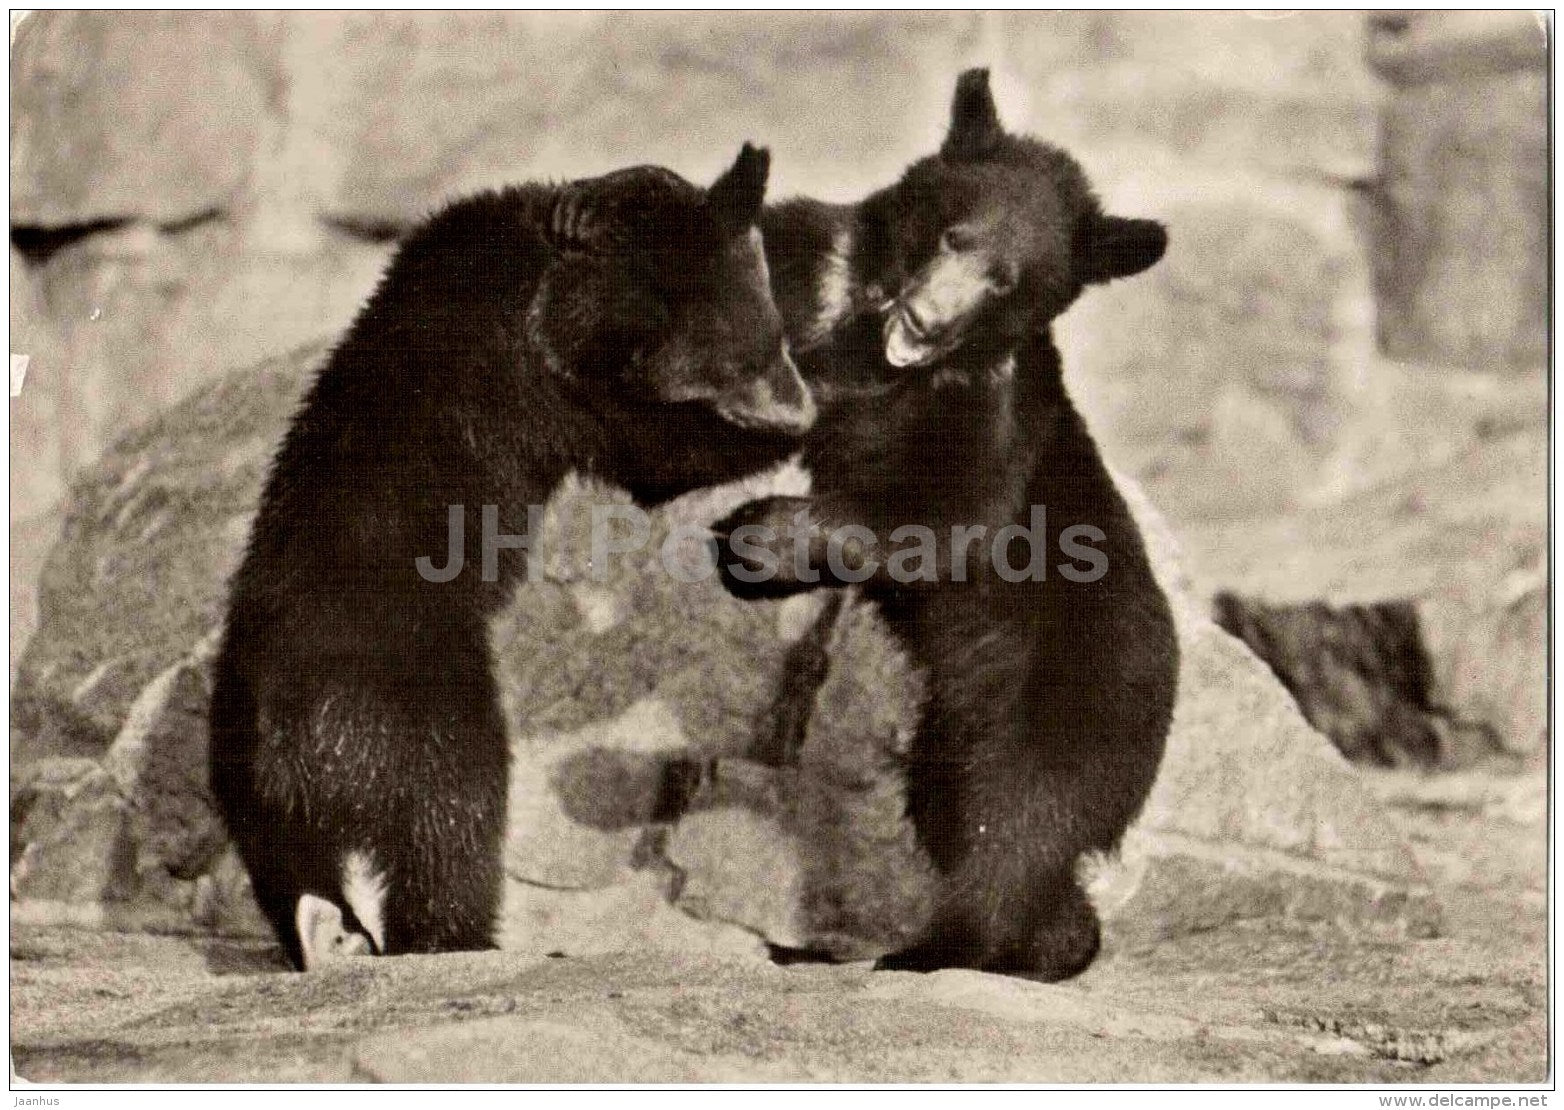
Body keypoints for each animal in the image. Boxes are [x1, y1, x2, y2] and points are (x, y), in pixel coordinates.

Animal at [208, 144, 817, 970]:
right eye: (757, 353)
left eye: (774, 337)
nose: (794, 400)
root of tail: (289, 736)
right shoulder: (540, 382)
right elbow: (653, 452)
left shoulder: (451, 248)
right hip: (412, 702)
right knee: (452, 815)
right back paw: (455, 937)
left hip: (243, 778)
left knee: (288, 862)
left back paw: (328, 932)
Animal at [711, 70, 1180, 980]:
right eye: (954, 235)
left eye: (1006, 281)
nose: (926, 322)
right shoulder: (812, 270)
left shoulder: (987, 403)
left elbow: (946, 516)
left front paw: (758, 538)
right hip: (955, 727)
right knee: (956, 813)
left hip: (1077, 702)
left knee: (1016, 828)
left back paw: (932, 950)